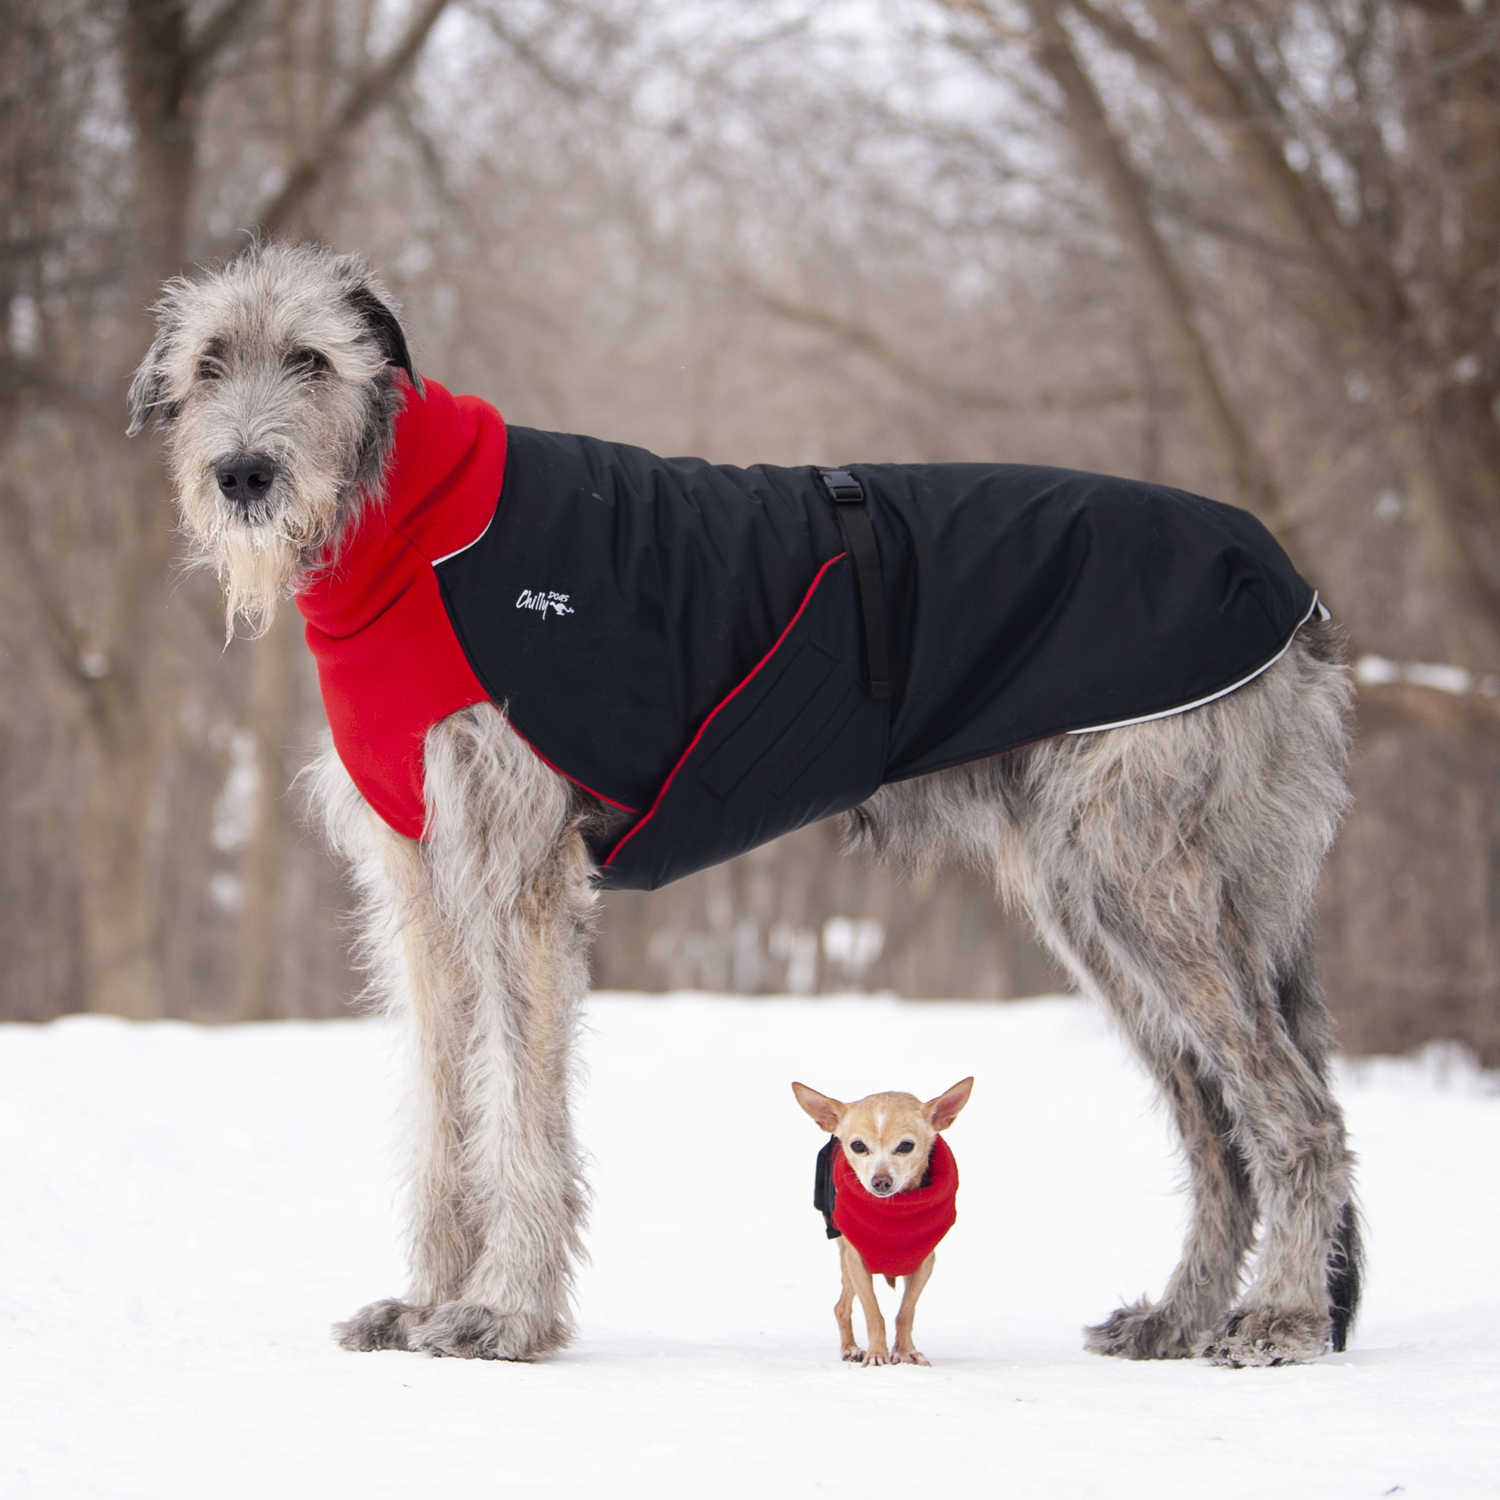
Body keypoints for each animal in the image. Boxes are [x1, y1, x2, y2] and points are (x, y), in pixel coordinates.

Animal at [129, 240, 1362, 1368]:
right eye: (208, 362)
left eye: (310, 358)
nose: (243, 474)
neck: (407, 522)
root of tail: (1293, 594)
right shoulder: (423, 883)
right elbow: (445, 1109)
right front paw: (427, 1299)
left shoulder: (520, 873)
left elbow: (520, 1110)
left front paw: (504, 1313)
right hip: (1102, 905)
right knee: (1217, 1128)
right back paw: (1183, 1315)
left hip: (1140, 878)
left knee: (1294, 1110)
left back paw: (1282, 1315)